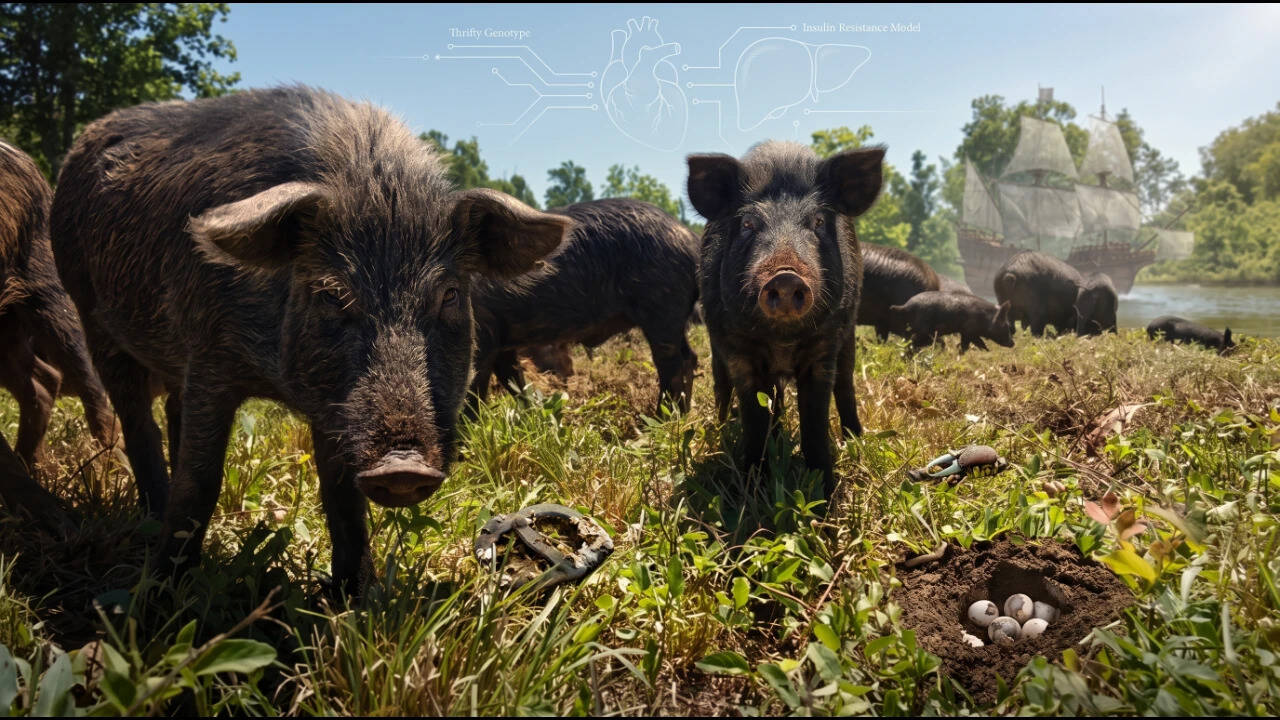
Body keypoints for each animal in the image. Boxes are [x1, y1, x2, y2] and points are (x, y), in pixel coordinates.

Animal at [49, 86, 571, 592]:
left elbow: (340, 495)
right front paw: (161, 595)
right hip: (90, 312)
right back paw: (152, 519)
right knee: (139, 423)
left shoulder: (332, 406)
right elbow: (200, 481)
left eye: (449, 294)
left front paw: (353, 597)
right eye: (331, 293)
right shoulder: (210, 356)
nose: (402, 466)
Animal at [471, 198, 699, 412]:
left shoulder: (483, 333)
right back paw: (682, 413)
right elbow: (513, 380)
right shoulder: (501, 341)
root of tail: (689, 237)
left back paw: (660, 418)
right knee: (689, 358)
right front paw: (532, 413)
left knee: (671, 364)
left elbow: (474, 389)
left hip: (662, 308)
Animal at [687, 141, 883, 498]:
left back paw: (855, 439)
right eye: (748, 223)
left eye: (818, 221)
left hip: (848, 338)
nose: (786, 276)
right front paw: (751, 490)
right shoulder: (738, 352)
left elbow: (815, 423)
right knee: (724, 387)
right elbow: (753, 420)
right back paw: (724, 428)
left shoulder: (824, 350)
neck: (781, 340)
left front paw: (823, 494)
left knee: (845, 384)